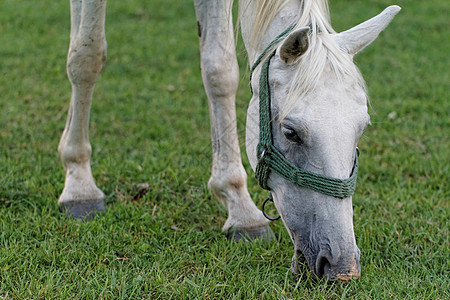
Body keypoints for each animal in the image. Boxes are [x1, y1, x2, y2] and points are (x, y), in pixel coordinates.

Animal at [58, 0, 400, 282]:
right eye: (291, 132)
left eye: (361, 129)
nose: (342, 267)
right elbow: (87, 56)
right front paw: (79, 184)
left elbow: (219, 70)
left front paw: (239, 205)